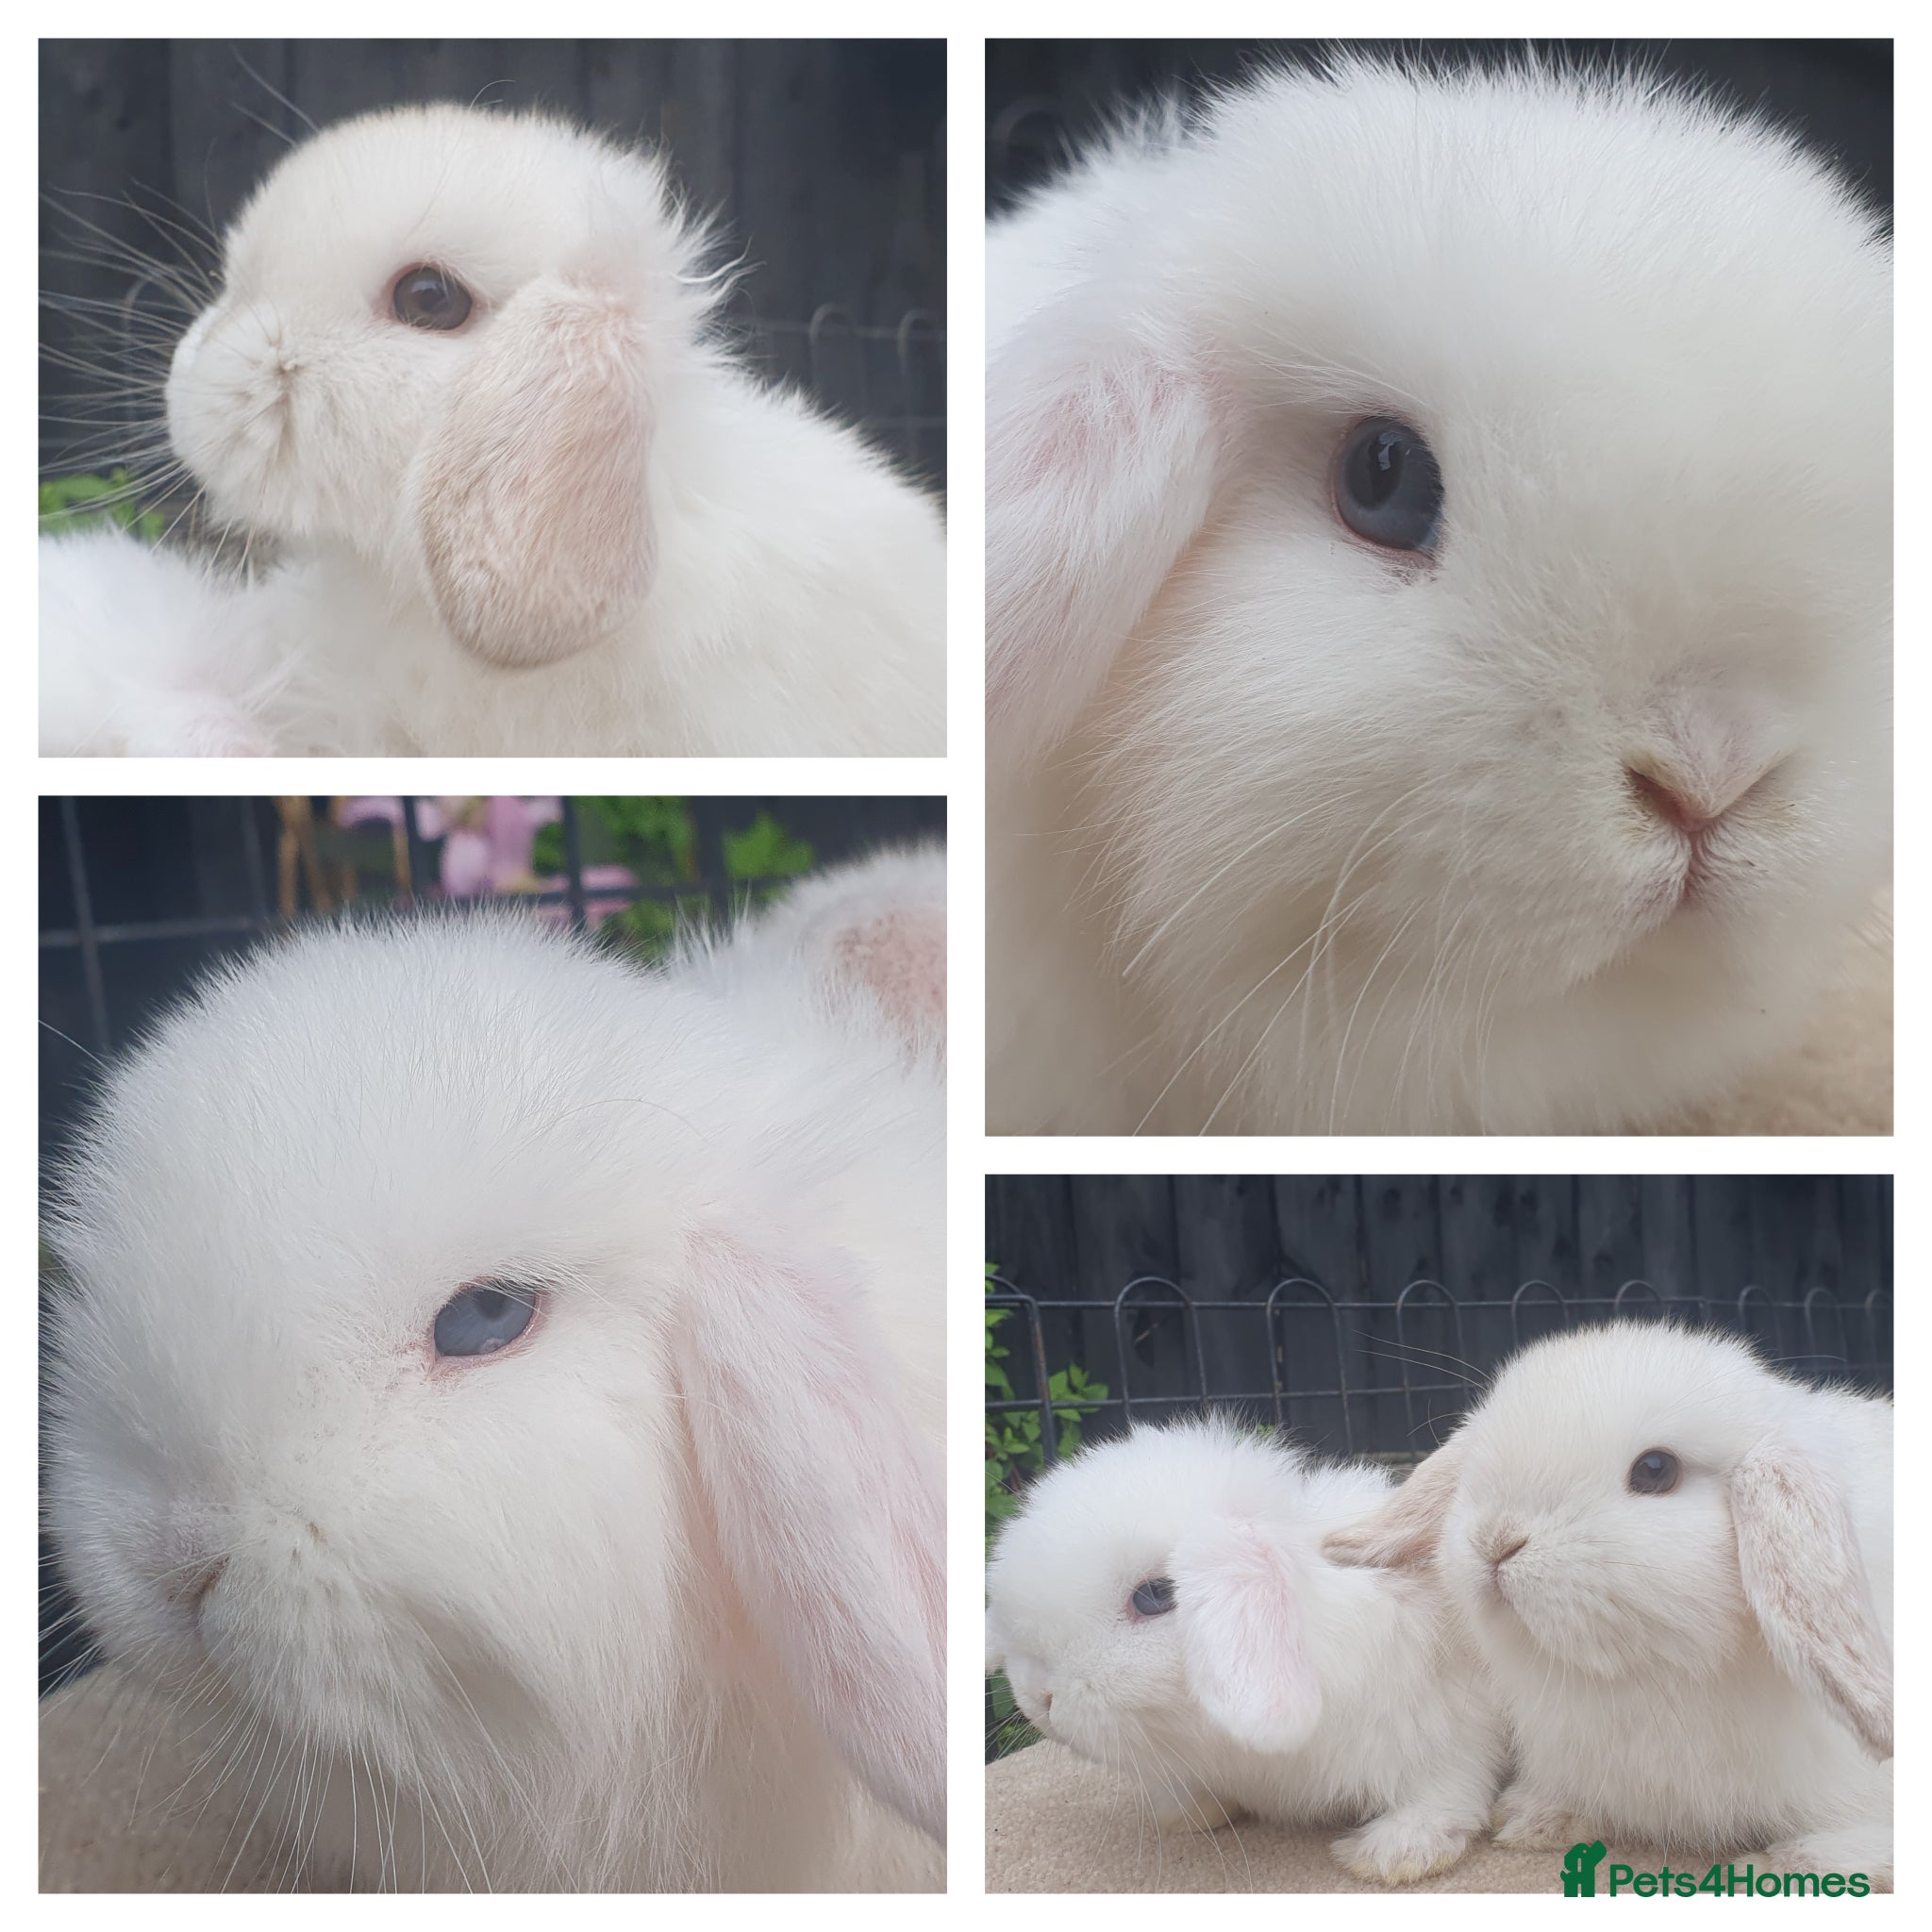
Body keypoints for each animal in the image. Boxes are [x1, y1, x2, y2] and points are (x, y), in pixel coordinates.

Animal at [984, 1419, 1505, 1885]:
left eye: (1153, 1596)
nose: (1039, 1700)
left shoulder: (1446, 1726)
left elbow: (1446, 1788)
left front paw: (1394, 1853)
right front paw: (1187, 1813)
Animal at [1324, 1323, 1893, 1888]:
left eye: (1656, 1469)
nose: (1496, 1539)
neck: (1645, 1679)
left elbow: (1845, 1849)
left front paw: (1765, 1868)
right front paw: (1536, 1818)